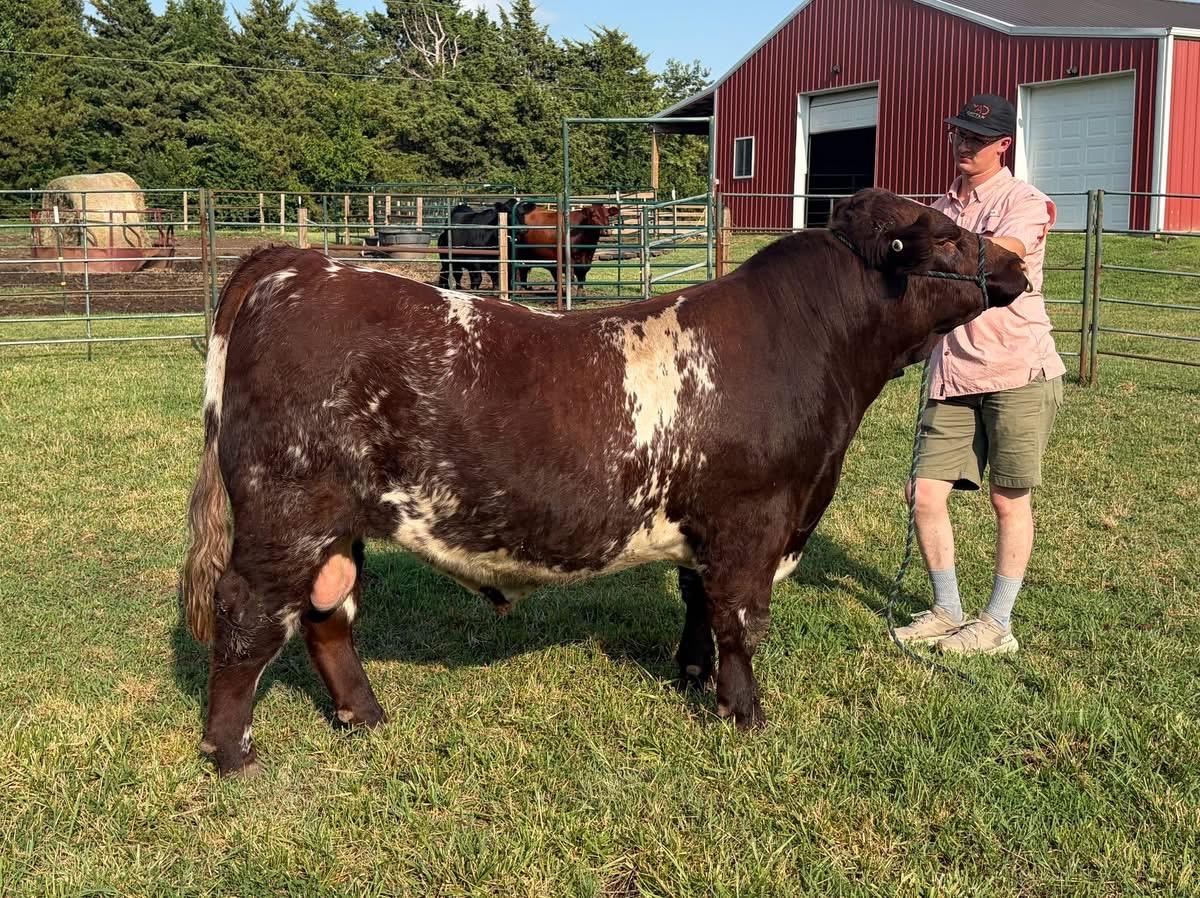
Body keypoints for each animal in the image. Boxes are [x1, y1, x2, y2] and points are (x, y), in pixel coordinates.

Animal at [181, 189, 1029, 776]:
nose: (1018, 262)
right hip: (286, 512)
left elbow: (698, 604)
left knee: (328, 613)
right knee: (248, 614)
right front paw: (746, 715)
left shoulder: (706, 531)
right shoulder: (752, 521)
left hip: (336, 521)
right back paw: (233, 752)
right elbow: (741, 620)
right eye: (946, 235)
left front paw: (694, 677)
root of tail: (301, 263)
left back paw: (365, 715)